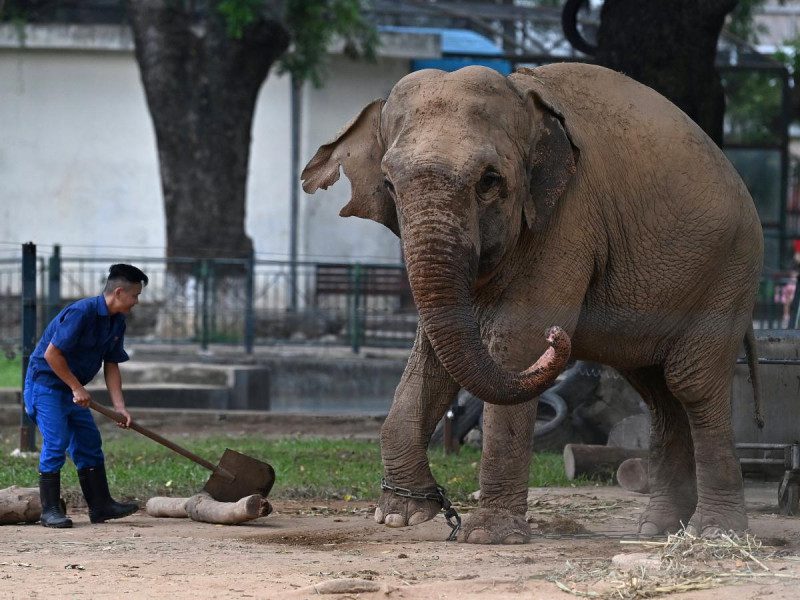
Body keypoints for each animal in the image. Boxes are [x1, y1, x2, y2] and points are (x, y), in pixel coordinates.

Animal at [300, 62, 764, 544]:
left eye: (489, 181)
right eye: (389, 184)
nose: (559, 337)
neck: (523, 95)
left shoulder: (568, 218)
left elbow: (517, 342)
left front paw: (486, 536)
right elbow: (432, 355)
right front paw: (402, 515)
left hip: (729, 273)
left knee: (690, 384)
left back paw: (714, 533)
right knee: (658, 392)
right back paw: (657, 529)